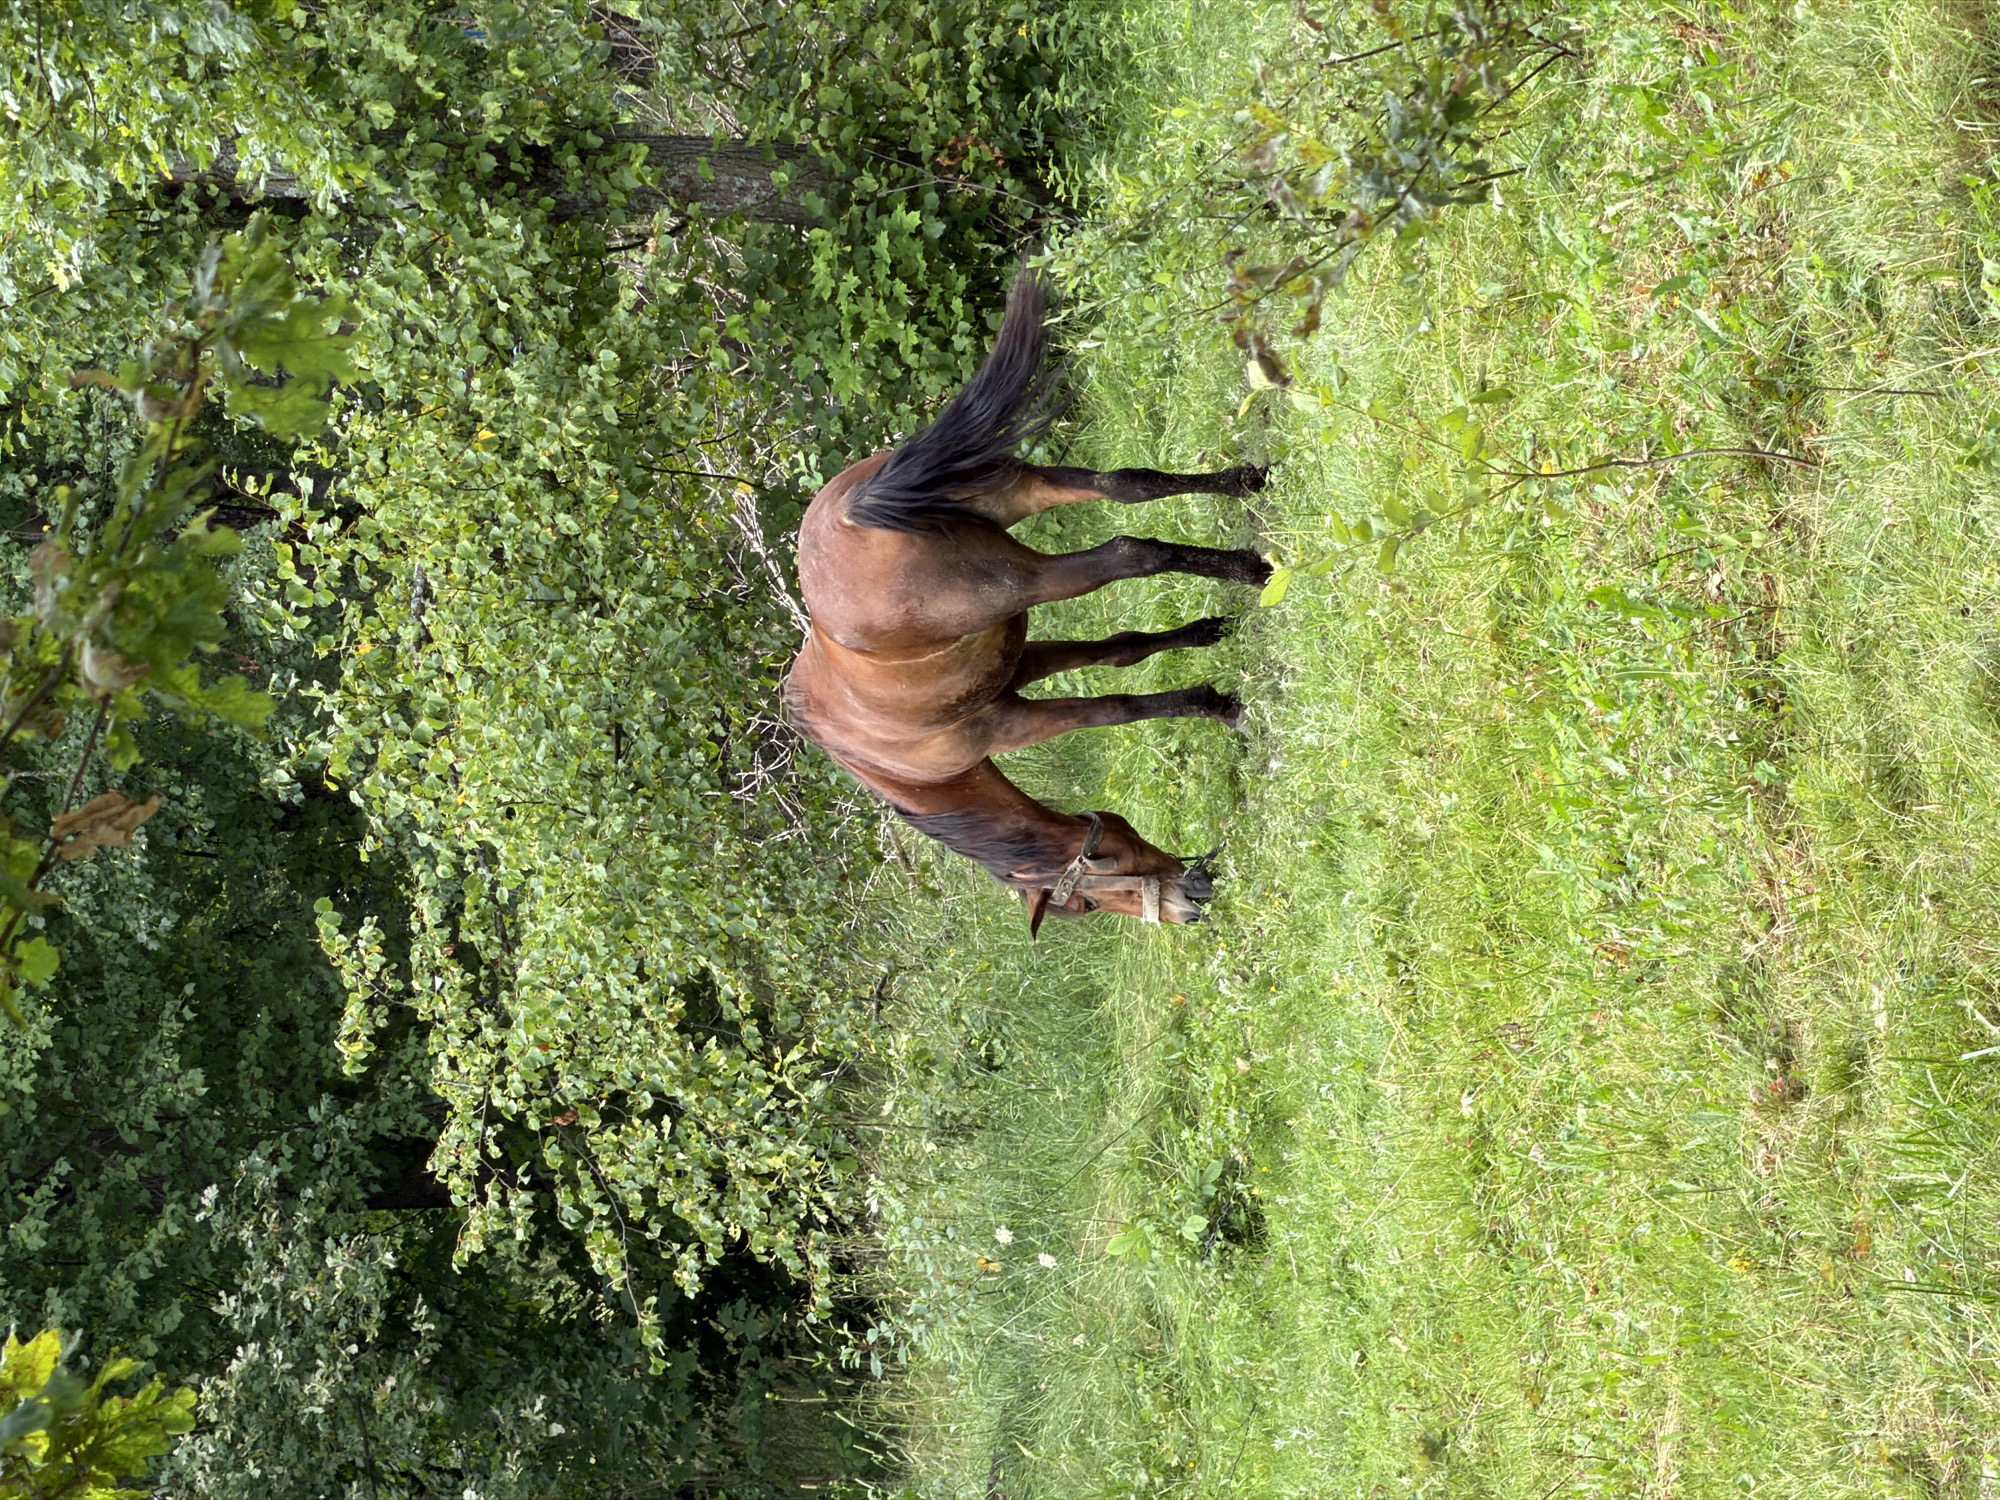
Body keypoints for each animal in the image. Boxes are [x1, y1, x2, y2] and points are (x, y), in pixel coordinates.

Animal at [782, 271, 1270, 931]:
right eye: (1092, 903)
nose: (1192, 902)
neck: (899, 767)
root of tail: (852, 513)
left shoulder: (1010, 724)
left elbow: (1114, 709)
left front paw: (1220, 706)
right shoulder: (1019, 666)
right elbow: (1122, 653)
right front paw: (1204, 640)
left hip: (1024, 575)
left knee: (1129, 553)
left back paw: (1251, 570)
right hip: (1025, 488)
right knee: (1128, 485)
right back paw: (1245, 485)